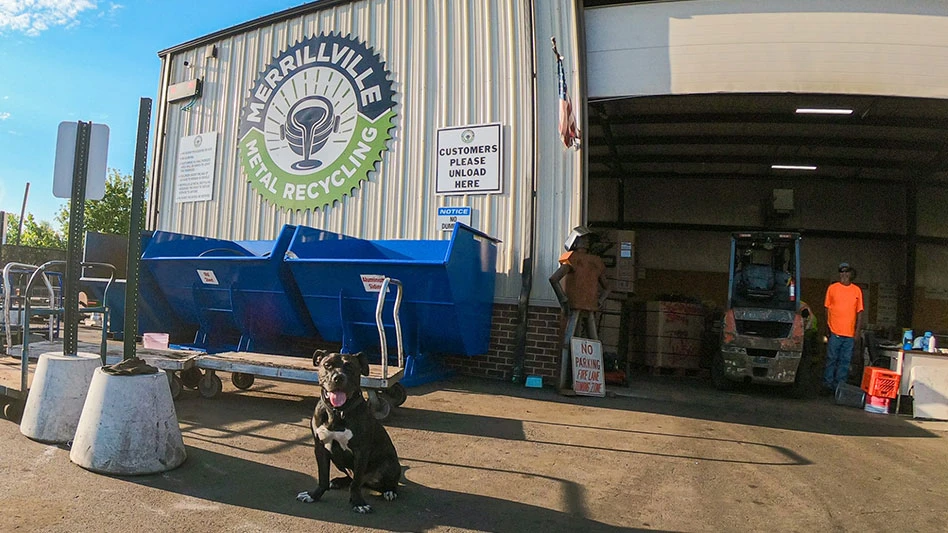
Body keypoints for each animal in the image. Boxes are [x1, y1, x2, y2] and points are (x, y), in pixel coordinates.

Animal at [296, 350, 400, 512]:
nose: (338, 377)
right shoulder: (320, 448)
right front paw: (313, 495)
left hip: (390, 464)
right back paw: (338, 481)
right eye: (327, 365)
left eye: (350, 367)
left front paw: (358, 502)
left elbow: (356, 483)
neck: (338, 412)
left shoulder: (361, 452)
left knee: (385, 482)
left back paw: (390, 491)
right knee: (351, 477)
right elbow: (323, 477)